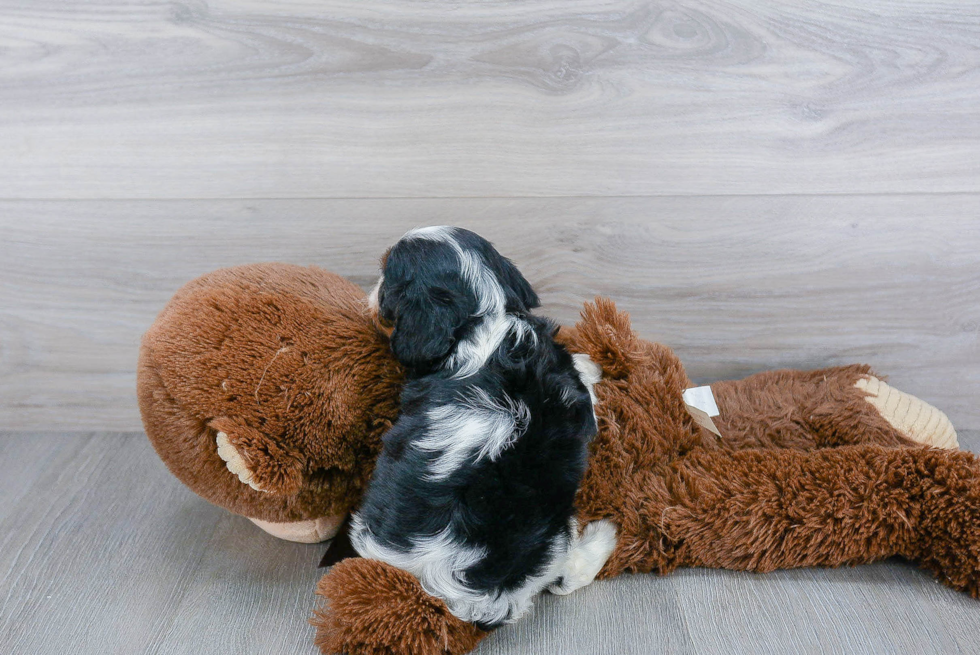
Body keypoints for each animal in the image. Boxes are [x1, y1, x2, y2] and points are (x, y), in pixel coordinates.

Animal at [350, 227, 612, 632]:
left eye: (385, 275)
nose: (371, 290)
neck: (486, 320)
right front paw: (591, 365)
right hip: (554, 529)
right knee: (564, 574)